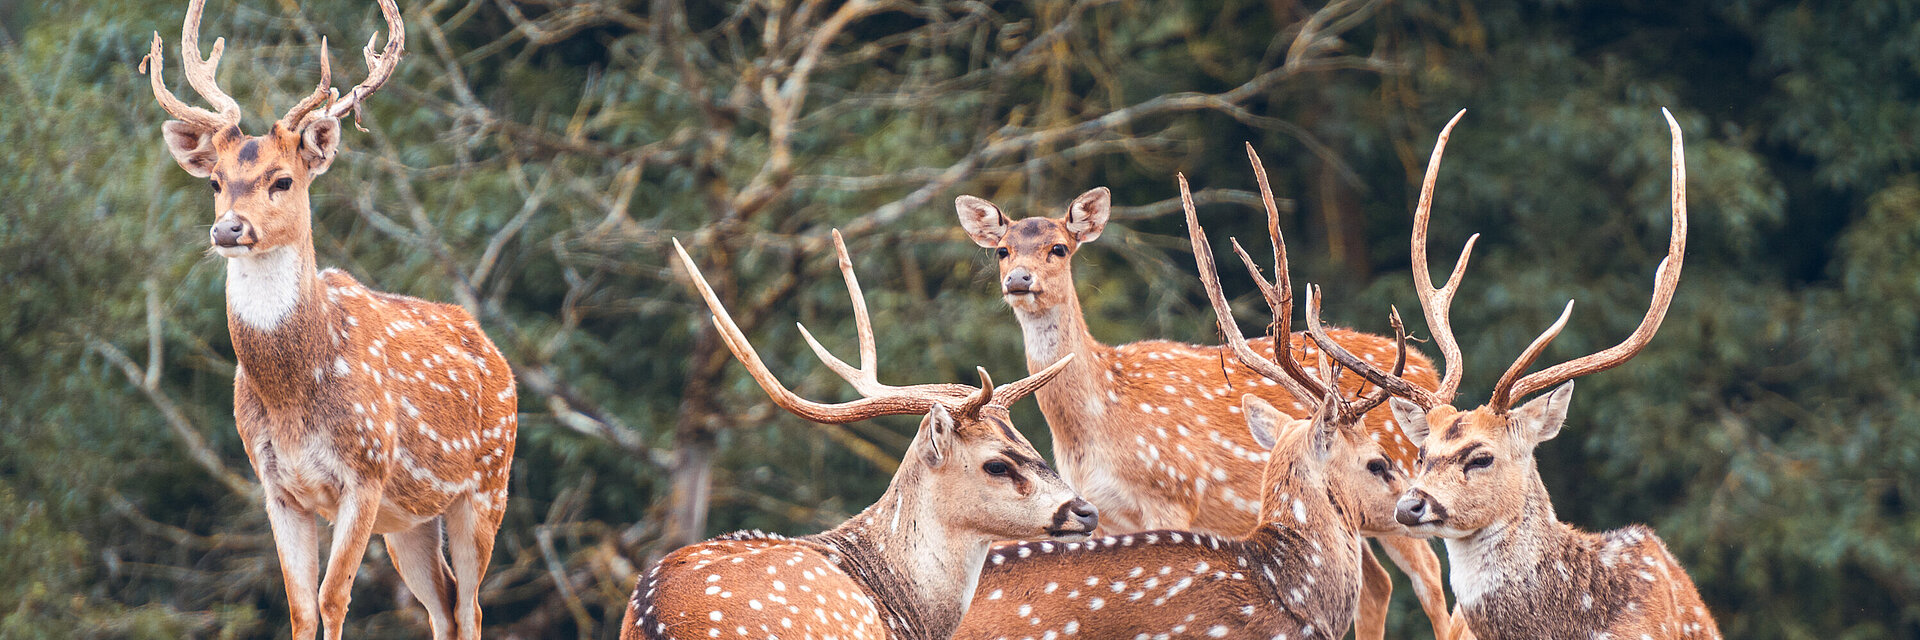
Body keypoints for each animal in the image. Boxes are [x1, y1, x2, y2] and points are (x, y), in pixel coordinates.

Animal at [140, 2, 518, 639]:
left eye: (283, 180)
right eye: (215, 182)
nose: (228, 229)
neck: (294, 393)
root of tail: (495, 352)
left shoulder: (365, 470)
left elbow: (332, 597)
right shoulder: (274, 482)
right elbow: (298, 604)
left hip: (488, 483)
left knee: (471, 606)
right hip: (411, 519)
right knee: (443, 604)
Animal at [955, 145, 1461, 639]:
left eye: (1058, 248)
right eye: (1002, 251)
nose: (1019, 280)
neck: (1095, 420)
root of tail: (1429, 369)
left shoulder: (1172, 493)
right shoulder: (1104, 513)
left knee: (1433, 585)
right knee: (1378, 586)